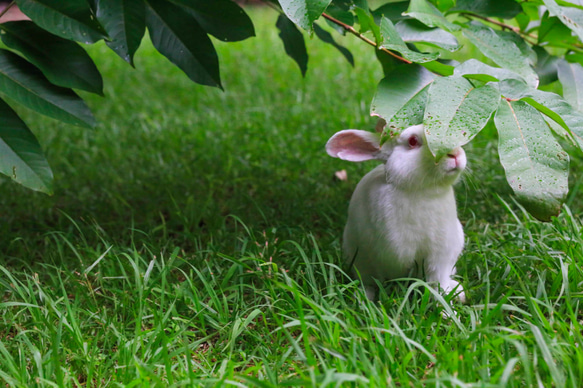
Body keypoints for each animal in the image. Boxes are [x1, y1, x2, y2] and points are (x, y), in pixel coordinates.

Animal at [326, 124, 468, 300]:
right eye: (412, 141)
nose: (455, 154)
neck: (421, 191)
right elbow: (373, 281)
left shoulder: (440, 256)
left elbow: (437, 285)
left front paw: (445, 306)